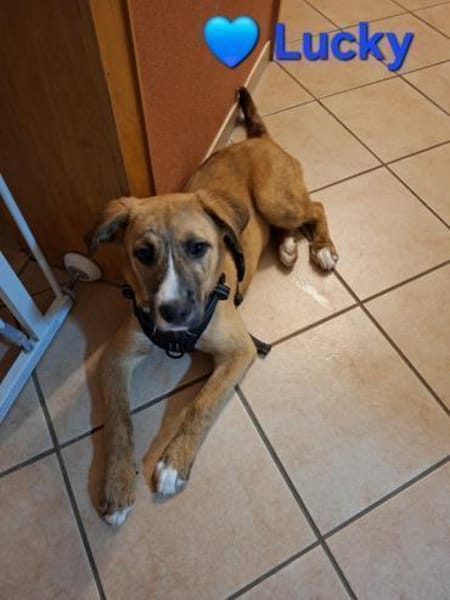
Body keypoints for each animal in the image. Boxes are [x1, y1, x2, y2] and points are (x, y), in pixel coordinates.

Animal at [89, 88, 338, 526]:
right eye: (142, 253)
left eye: (198, 247)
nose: (173, 313)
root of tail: (260, 140)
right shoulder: (115, 356)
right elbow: (118, 421)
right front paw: (117, 486)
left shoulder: (239, 350)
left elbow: (201, 404)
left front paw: (173, 463)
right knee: (290, 226)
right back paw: (289, 246)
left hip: (276, 199)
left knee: (317, 208)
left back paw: (321, 248)